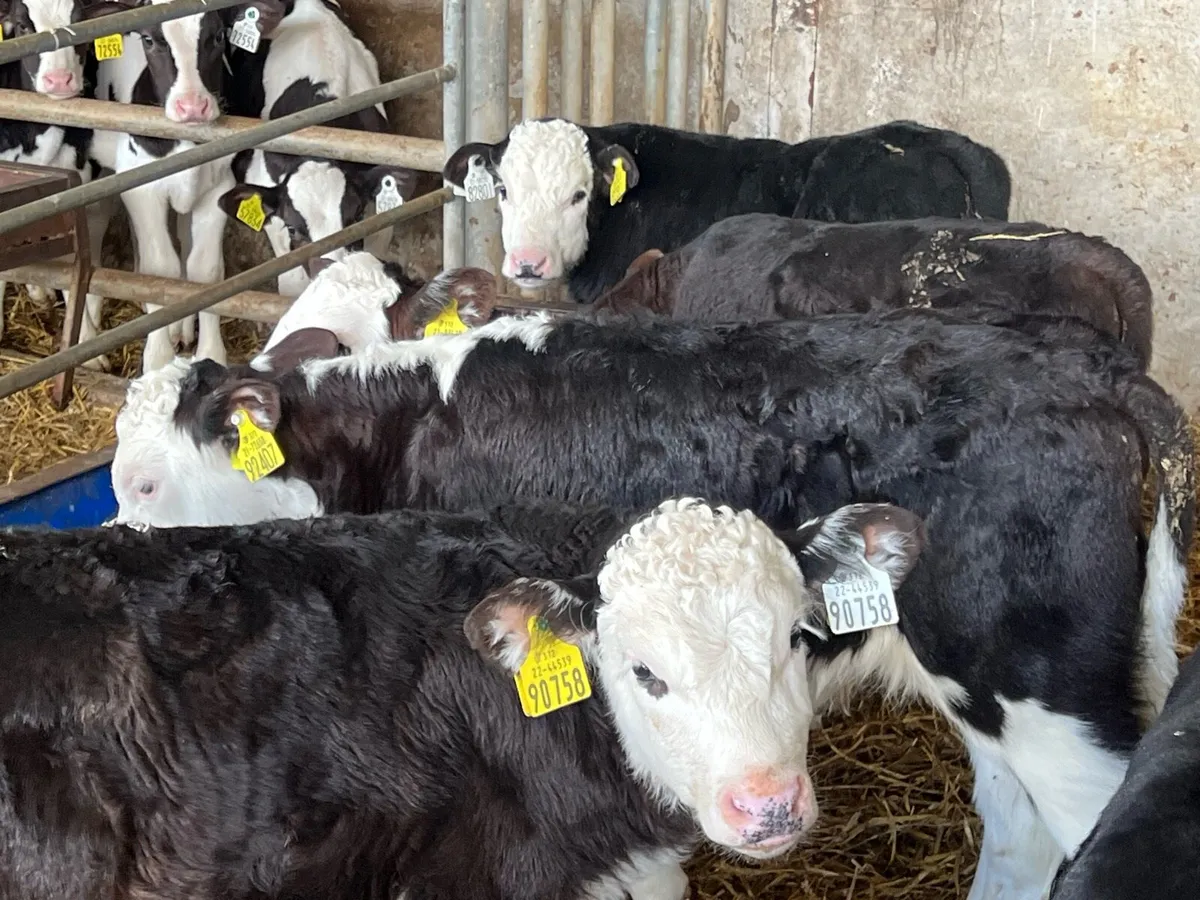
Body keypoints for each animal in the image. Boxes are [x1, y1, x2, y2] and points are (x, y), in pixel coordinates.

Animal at [0, 0, 113, 362]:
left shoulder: (77, 188)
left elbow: (73, 268)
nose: (60, 80)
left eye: (80, 23)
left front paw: (87, 343)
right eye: (23, 26)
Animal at [87, 0, 238, 372]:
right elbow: (158, 271)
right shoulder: (142, 190)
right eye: (149, 39)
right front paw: (158, 361)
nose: (192, 106)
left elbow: (206, 272)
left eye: (217, 35)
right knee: (92, 228)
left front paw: (210, 353)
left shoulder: (217, 188)